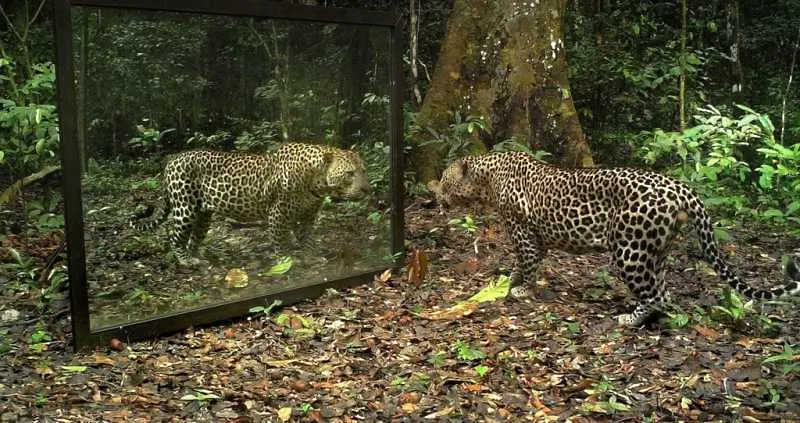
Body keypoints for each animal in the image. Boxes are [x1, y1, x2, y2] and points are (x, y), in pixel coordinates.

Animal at [130, 142, 370, 264]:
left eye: (363, 171)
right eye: (349, 173)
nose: (366, 189)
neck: (318, 182)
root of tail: (172, 160)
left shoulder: (308, 214)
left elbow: (307, 237)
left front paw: (311, 256)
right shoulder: (278, 212)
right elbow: (280, 239)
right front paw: (286, 260)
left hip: (202, 214)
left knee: (194, 237)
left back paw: (199, 258)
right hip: (185, 208)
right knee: (174, 235)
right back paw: (185, 261)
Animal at [432, 152, 800, 328]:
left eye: (445, 177)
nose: (436, 193)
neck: (487, 177)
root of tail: (681, 188)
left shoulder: (523, 232)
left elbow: (526, 262)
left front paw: (517, 288)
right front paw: (511, 284)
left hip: (628, 251)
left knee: (656, 295)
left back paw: (630, 320)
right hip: (656, 249)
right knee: (664, 292)